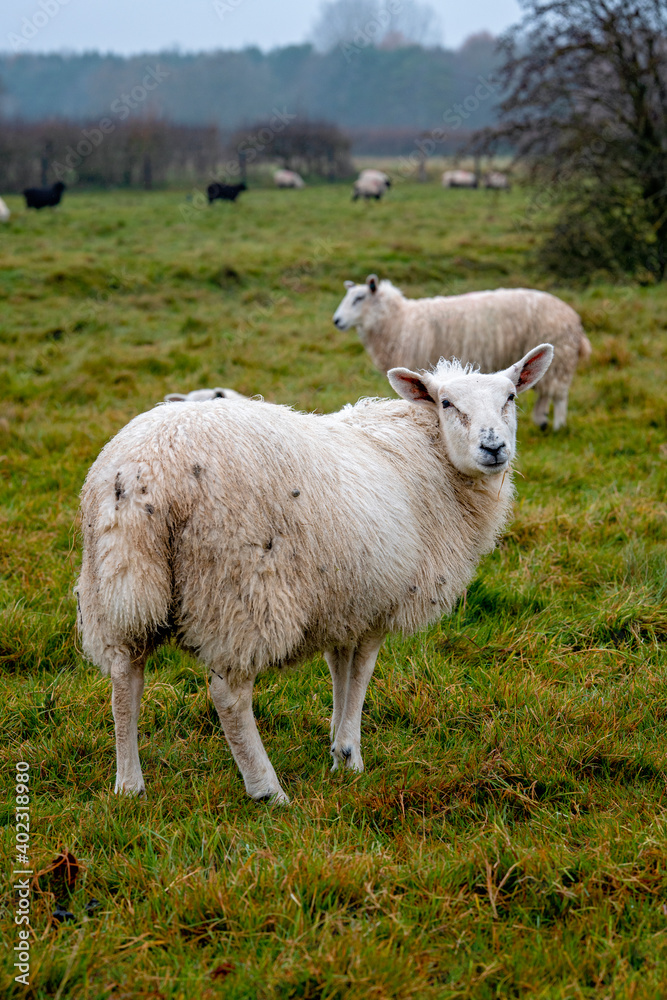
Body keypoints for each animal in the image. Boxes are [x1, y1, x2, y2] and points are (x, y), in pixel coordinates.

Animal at [76, 343, 553, 803]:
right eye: (447, 402)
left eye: (511, 397)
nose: (494, 448)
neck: (432, 452)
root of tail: (148, 467)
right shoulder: (382, 599)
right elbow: (360, 673)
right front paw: (350, 754)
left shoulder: (345, 599)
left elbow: (338, 668)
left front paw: (336, 747)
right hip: (238, 589)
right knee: (229, 695)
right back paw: (267, 789)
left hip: (118, 583)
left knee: (125, 677)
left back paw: (129, 785)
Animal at [333, 276, 591, 430]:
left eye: (359, 298)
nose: (336, 321)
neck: (397, 320)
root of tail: (573, 318)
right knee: (546, 391)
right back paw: (541, 420)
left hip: (561, 356)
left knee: (559, 394)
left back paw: (558, 425)